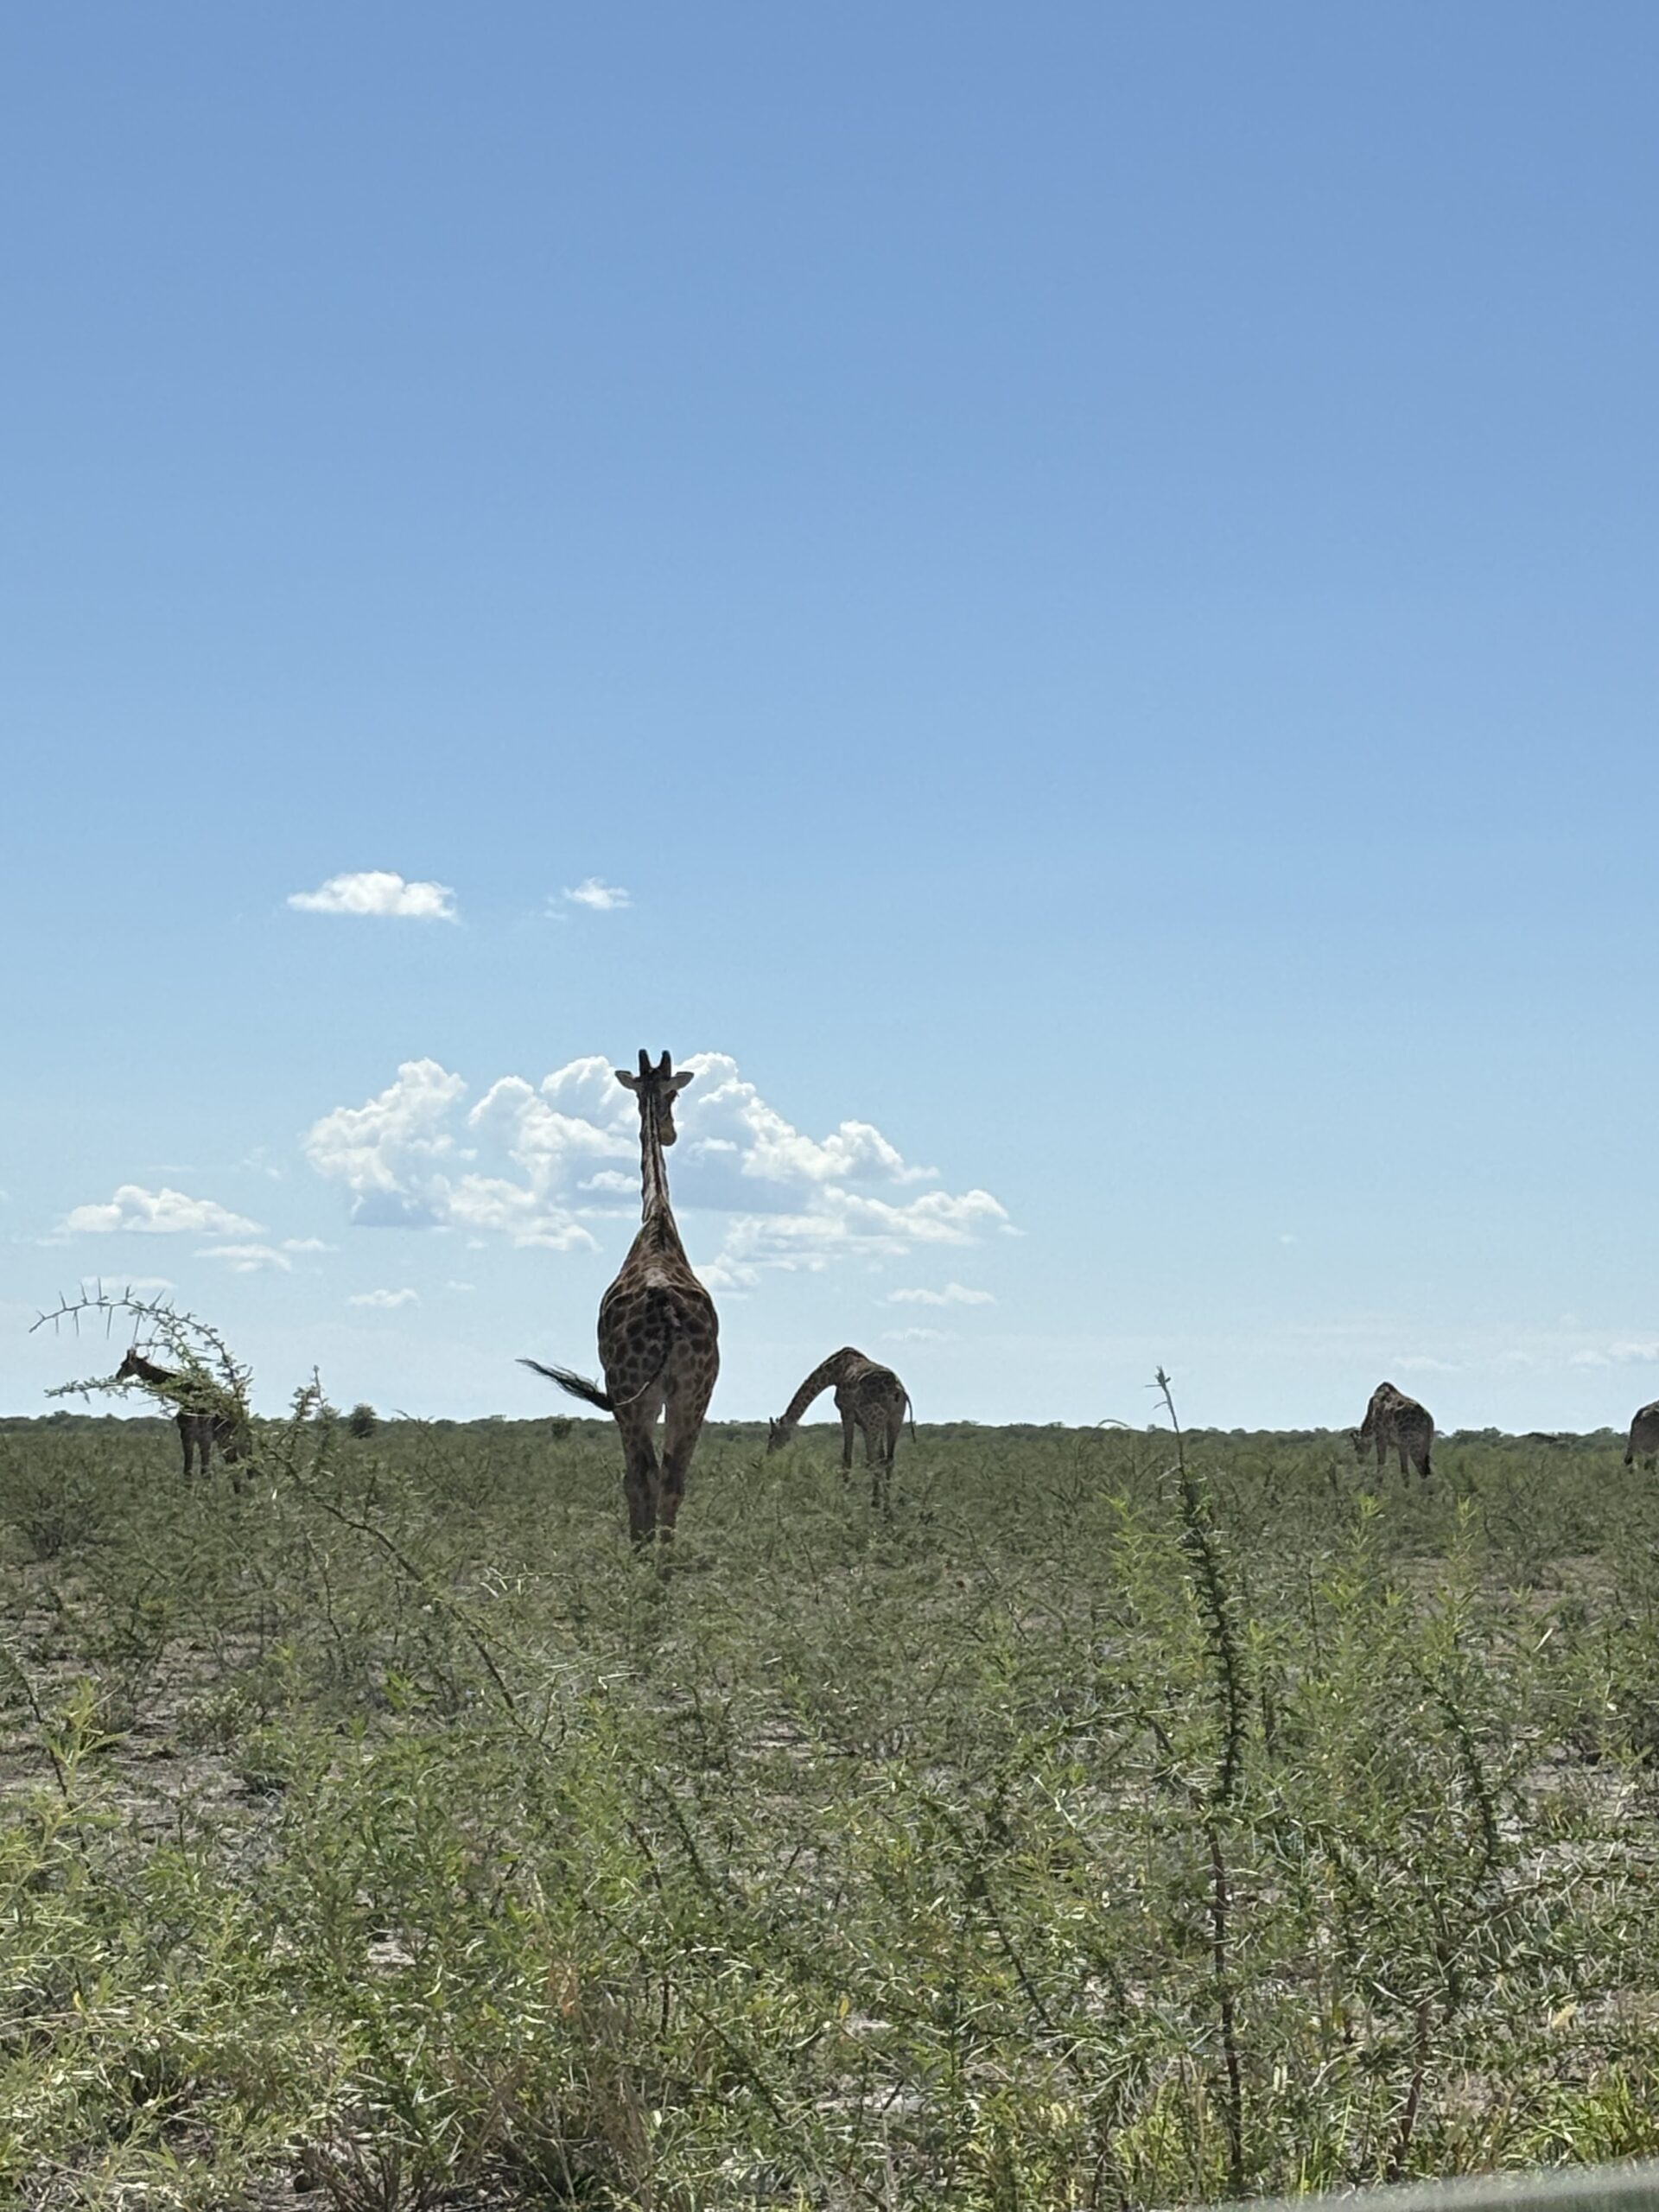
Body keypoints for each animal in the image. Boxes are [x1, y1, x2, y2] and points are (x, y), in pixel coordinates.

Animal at [114, 1348, 249, 1480]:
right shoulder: (186, 1436)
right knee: (234, 1465)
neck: (186, 1395)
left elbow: (205, 1473)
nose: (117, 1376)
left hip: (229, 1438)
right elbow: (187, 1473)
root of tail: (241, 1412)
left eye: (124, 1364)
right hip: (225, 1440)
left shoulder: (205, 1437)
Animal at [521, 1049, 720, 1545]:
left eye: (674, 1095)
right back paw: (663, 1552)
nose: (670, 1132)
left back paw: (642, 1550)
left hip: (632, 1392)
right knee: (674, 1476)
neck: (658, 1222)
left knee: (641, 1473)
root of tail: (667, 1314)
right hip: (695, 1391)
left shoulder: (623, 1393)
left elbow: (635, 1475)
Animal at [768, 1346, 913, 1510]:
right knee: (889, 1460)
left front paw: (845, 1497)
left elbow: (848, 1458)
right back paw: (886, 1508)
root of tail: (898, 1391)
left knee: (879, 1461)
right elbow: (875, 1458)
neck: (834, 1372)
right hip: (894, 1420)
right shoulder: (866, 1423)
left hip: (874, 1420)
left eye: (772, 1436)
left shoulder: (846, 1412)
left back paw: (876, 1504)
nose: (769, 1454)